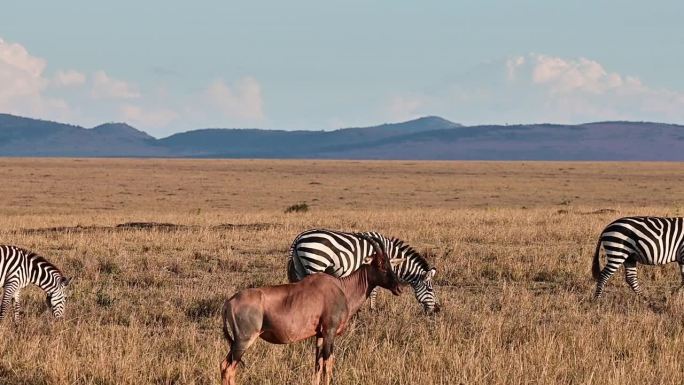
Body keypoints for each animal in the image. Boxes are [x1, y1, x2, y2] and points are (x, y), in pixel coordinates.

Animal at [219, 236, 400, 384]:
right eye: (380, 264)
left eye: (389, 263)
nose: (398, 288)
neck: (340, 288)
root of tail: (229, 302)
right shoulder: (329, 332)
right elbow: (328, 363)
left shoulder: (319, 335)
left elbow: (317, 364)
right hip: (244, 341)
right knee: (229, 368)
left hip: (236, 343)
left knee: (224, 365)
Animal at [286, 228, 440, 312]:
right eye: (430, 289)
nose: (437, 310)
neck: (390, 252)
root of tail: (300, 237)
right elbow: (374, 291)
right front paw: (372, 310)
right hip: (315, 264)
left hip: (300, 267)